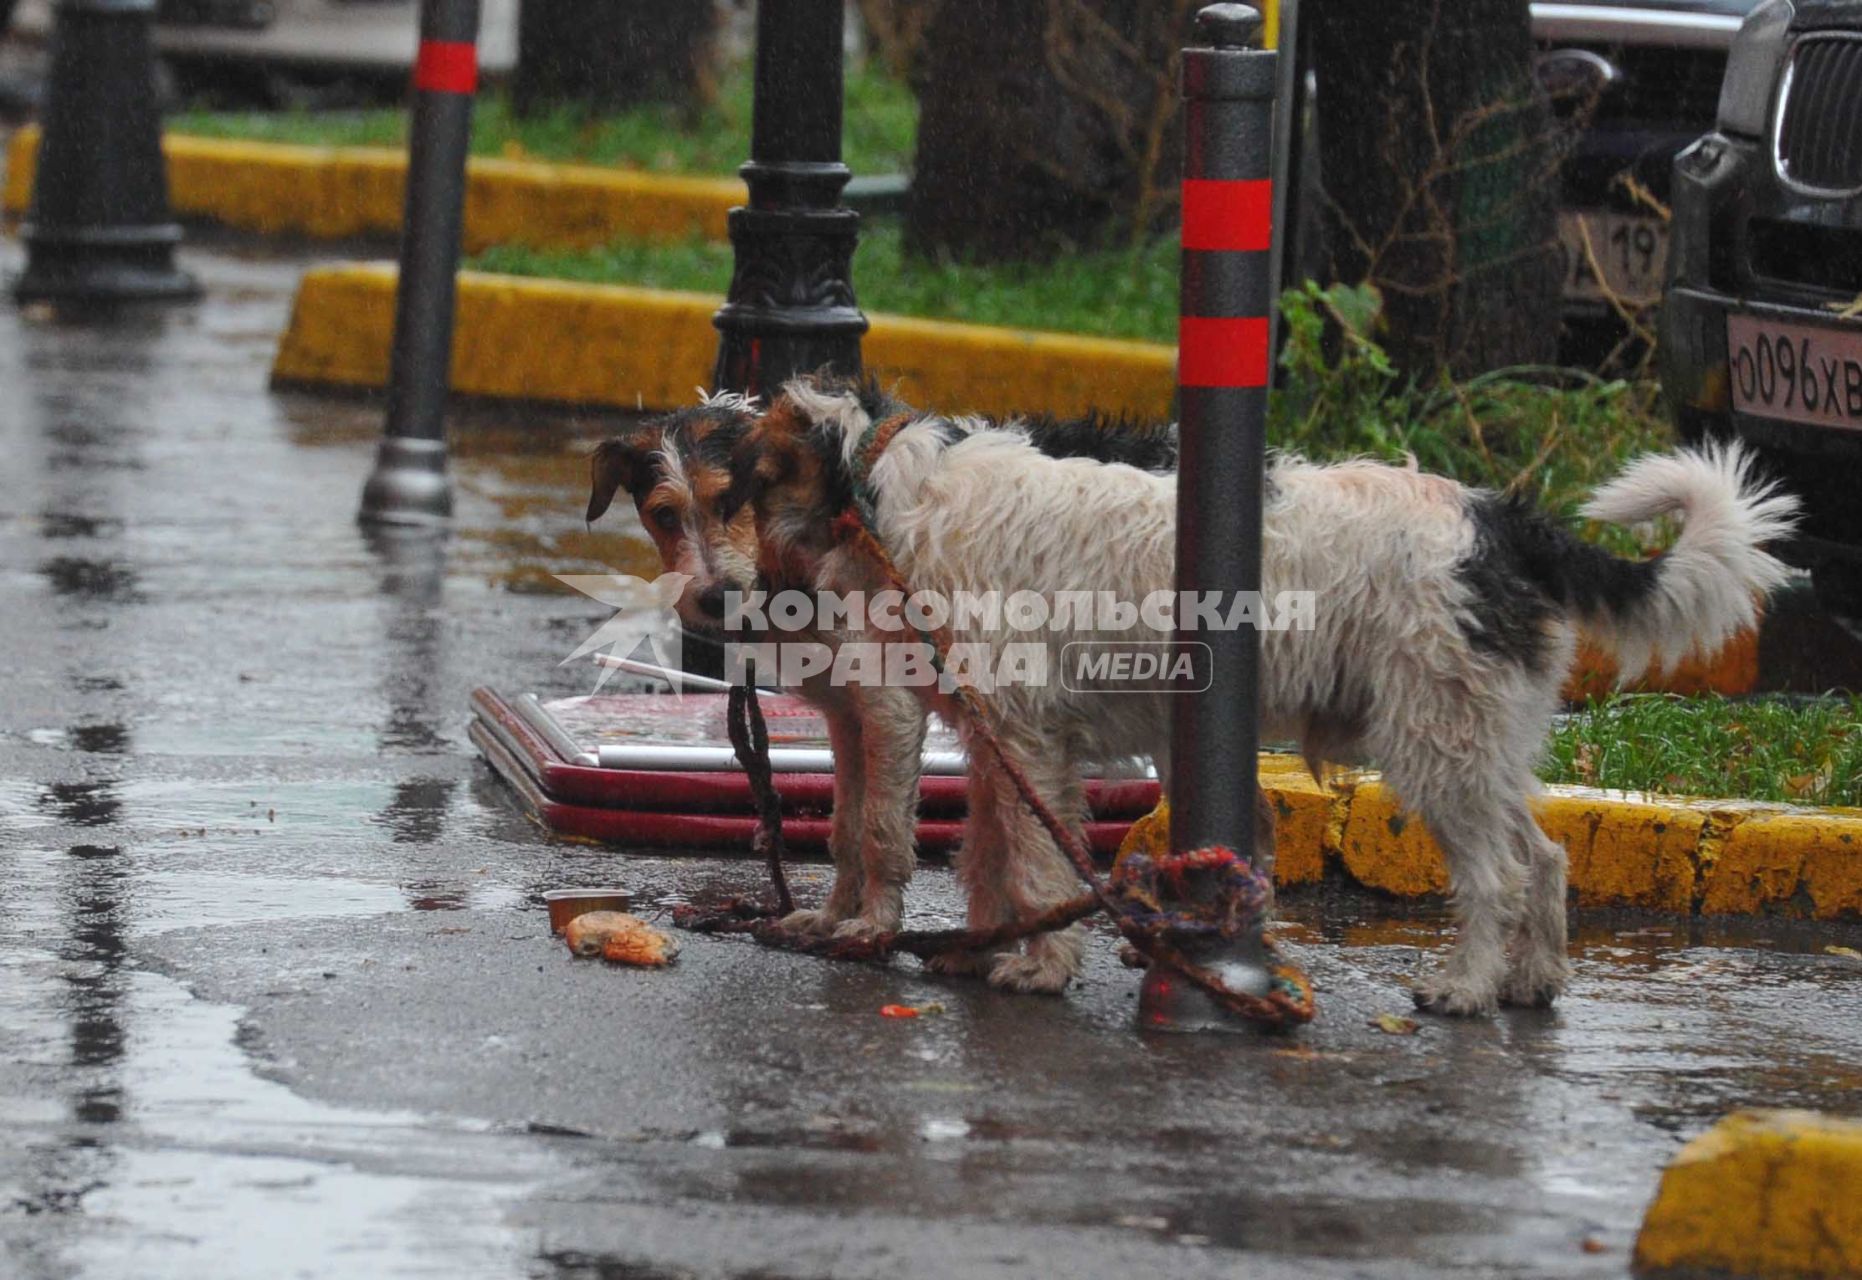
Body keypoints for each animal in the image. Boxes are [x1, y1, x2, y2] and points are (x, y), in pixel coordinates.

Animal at [733, 376, 1794, 1013]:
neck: (891, 492)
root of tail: (1501, 525)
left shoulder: (1026, 733)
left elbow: (1030, 862)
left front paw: (1035, 966)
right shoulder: (1008, 745)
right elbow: (995, 855)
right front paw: (981, 950)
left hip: (1435, 741)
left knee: (1496, 872)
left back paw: (1465, 986)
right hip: (1477, 738)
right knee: (1544, 856)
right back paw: (1531, 980)